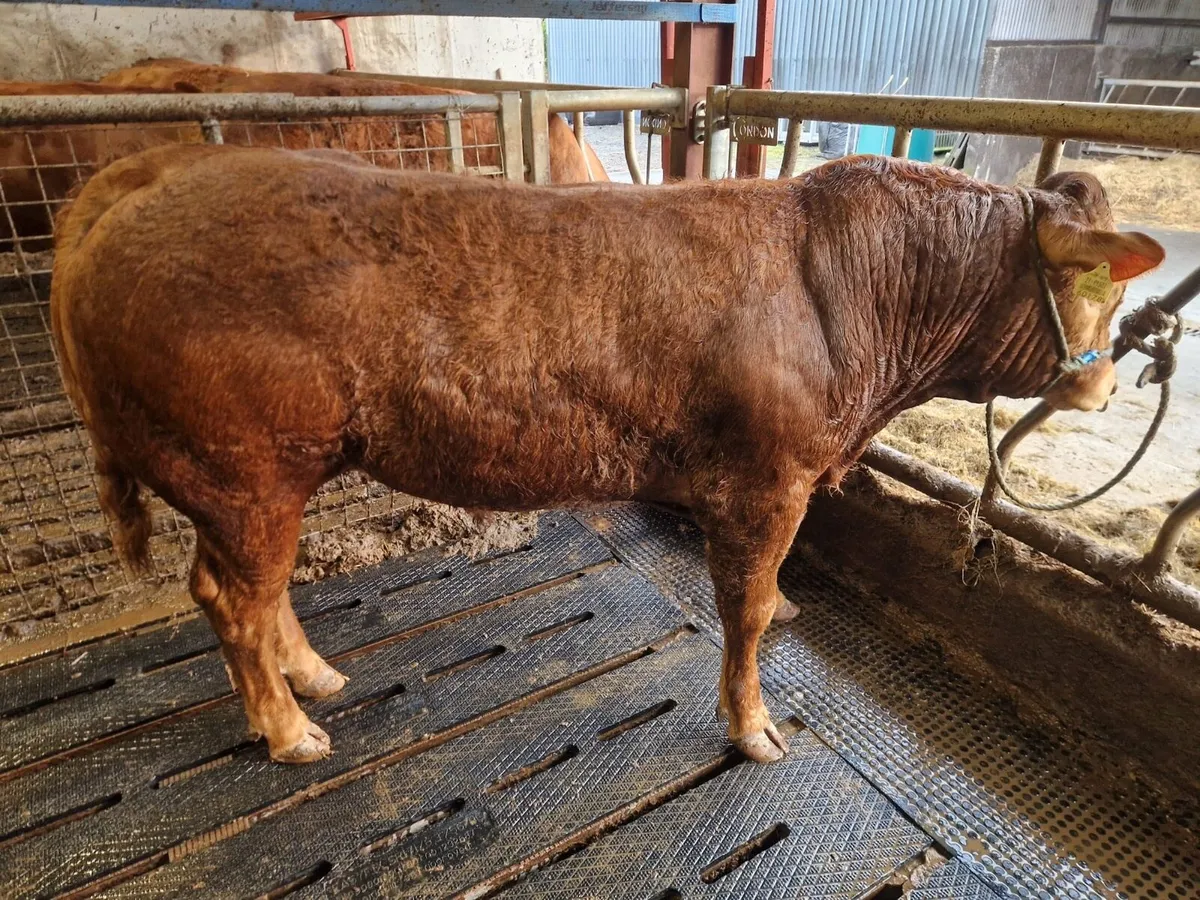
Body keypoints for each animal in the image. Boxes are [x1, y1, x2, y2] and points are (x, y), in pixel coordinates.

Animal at [50, 145, 1163, 765]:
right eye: (1103, 285)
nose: (1109, 384)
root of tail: (150, 173)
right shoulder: (769, 480)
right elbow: (747, 610)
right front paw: (754, 729)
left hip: (265, 475)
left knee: (259, 589)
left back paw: (313, 679)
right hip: (239, 467)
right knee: (230, 596)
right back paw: (288, 733)